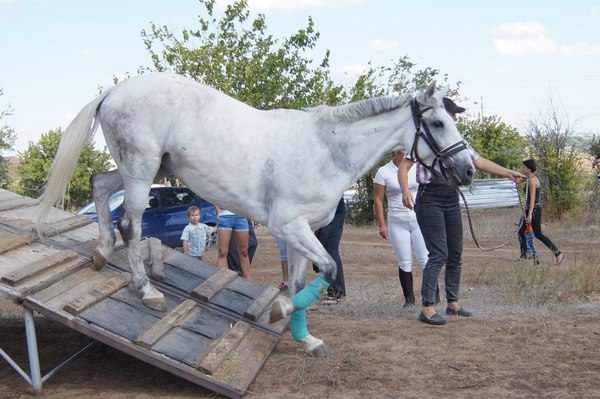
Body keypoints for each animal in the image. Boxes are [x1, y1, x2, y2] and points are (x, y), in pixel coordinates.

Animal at [35, 72, 476, 356]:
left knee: (98, 184)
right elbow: (328, 269)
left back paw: (100, 250)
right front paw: (280, 311)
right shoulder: (289, 226)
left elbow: (299, 281)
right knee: (130, 224)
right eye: (438, 123)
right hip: (142, 172)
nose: (468, 169)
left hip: (150, 169)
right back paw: (147, 291)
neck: (326, 149)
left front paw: (304, 338)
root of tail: (114, 91)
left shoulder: (301, 233)